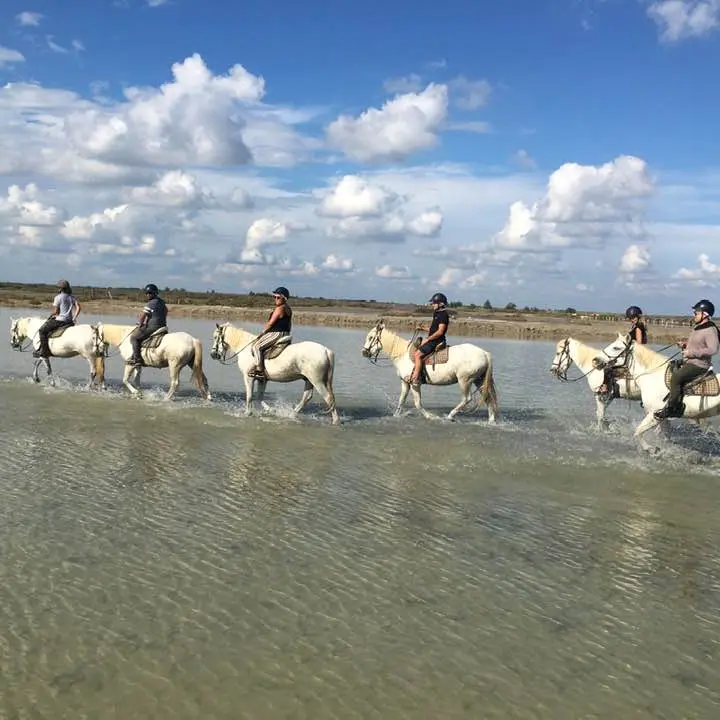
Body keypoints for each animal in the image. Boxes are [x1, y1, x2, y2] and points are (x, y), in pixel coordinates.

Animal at [209, 322, 340, 425]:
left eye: (216, 337)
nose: (212, 354)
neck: (245, 348)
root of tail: (326, 351)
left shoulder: (248, 377)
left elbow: (249, 396)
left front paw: (248, 413)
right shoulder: (262, 379)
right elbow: (259, 396)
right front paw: (270, 410)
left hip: (317, 381)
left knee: (328, 398)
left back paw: (335, 421)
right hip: (308, 380)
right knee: (307, 397)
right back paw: (292, 414)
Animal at [360, 319, 498, 422]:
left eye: (371, 337)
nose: (364, 352)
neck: (402, 354)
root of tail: (485, 353)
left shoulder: (415, 383)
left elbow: (418, 403)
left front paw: (431, 416)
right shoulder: (405, 383)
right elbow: (401, 401)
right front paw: (395, 416)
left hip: (465, 380)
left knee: (467, 399)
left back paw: (450, 415)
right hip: (479, 380)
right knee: (488, 398)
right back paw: (491, 421)